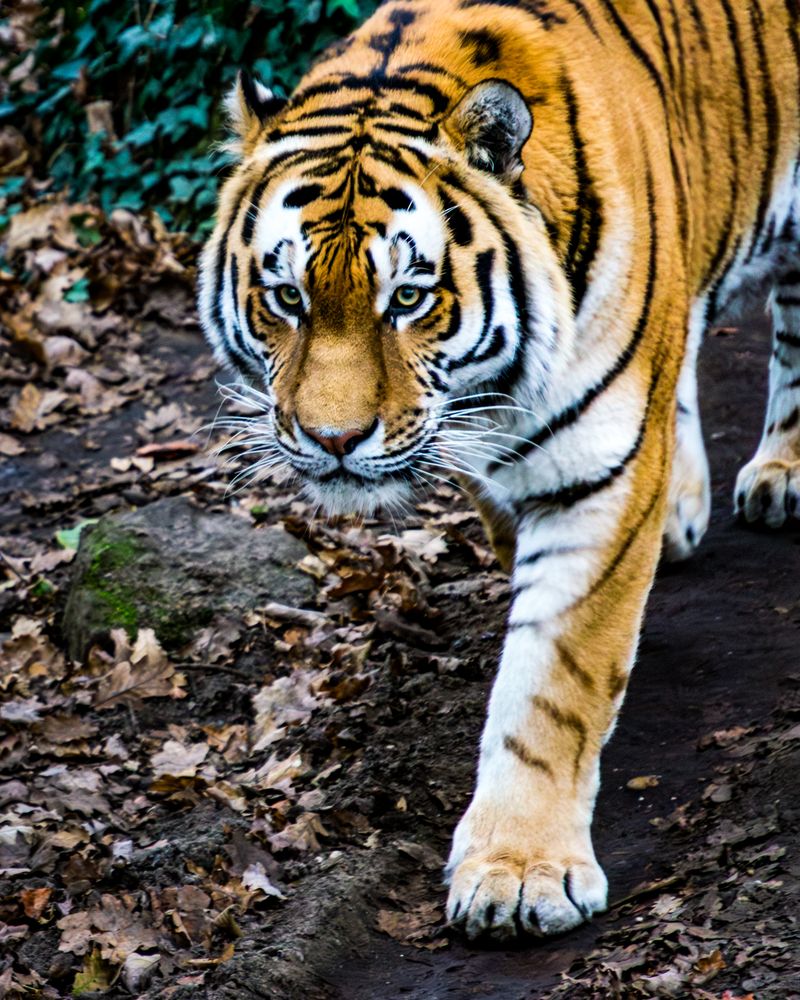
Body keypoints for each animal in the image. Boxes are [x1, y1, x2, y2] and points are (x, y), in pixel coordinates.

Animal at [199, 0, 800, 940]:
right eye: (288, 297)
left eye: (408, 299)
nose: (333, 439)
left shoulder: (597, 478)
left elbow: (551, 683)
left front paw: (519, 873)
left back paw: (782, 468)